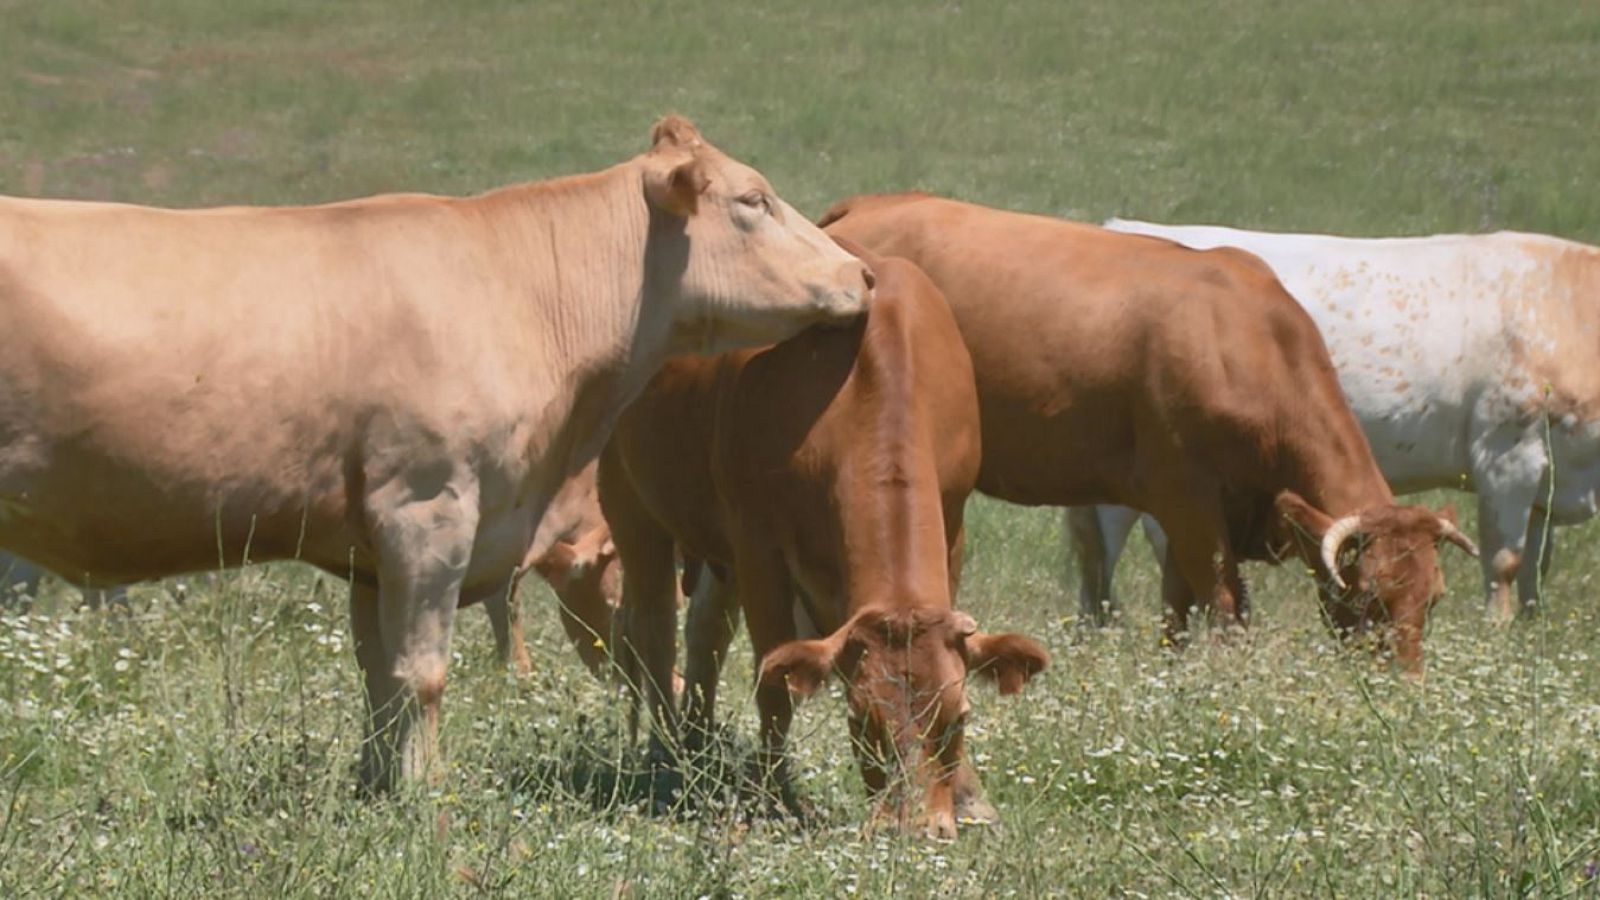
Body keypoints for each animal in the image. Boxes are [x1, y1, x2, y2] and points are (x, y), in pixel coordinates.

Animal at [0, 116, 873, 792]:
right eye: (753, 199)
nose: (862, 272)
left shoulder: (366, 550)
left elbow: (377, 673)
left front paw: (379, 784)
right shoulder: (427, 509)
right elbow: (421, 671)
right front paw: (427, 796)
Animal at [599, 242, 1048, 839]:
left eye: (960, 717)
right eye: (860, 719)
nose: (910, 829)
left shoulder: (952, 524)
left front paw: (972, 799)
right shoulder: (758, 544)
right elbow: (774, 685)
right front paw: (772, 797)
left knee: (705, 633)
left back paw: (697, 743)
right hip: (630, 505)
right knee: (653, 633)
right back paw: (668, 754)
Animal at [821, 192, 1479, 673]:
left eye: (1434, 598)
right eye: (1368, 596)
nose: (1404, 683)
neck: (1245, 343)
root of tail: (865, 208)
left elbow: (1176, 608)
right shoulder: (1188, 503)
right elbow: (1225, 604)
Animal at [1074, 220, 1600, 625]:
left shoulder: (1547, 476)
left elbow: (1536, 567)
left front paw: (1529, 634)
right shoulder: (1507, 454)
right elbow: (1505, 561)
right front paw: (1496, 634)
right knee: (1114, 545)